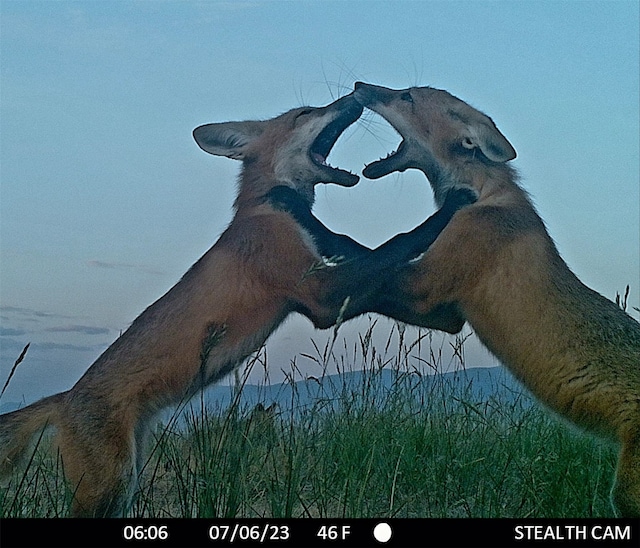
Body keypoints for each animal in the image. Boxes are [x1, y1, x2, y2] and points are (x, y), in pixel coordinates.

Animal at [0, 92, 476, 516]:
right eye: (306, 112)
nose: (354, 95)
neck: (265, 210)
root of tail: (64, 399)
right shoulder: (317, 295)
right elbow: (397, 245)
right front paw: (454, 204)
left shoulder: (327, 279)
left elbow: (382, 273)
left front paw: (446, 316)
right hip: (107, 488)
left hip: (127, 482)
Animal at [274, 82, 640, 520]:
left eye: (407, 97)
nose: (362, 87)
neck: (482, 194)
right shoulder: (446, 315)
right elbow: (370, 263)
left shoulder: (426, 288)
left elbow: (365, 252)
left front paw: (293, 209)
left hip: (625, 494)